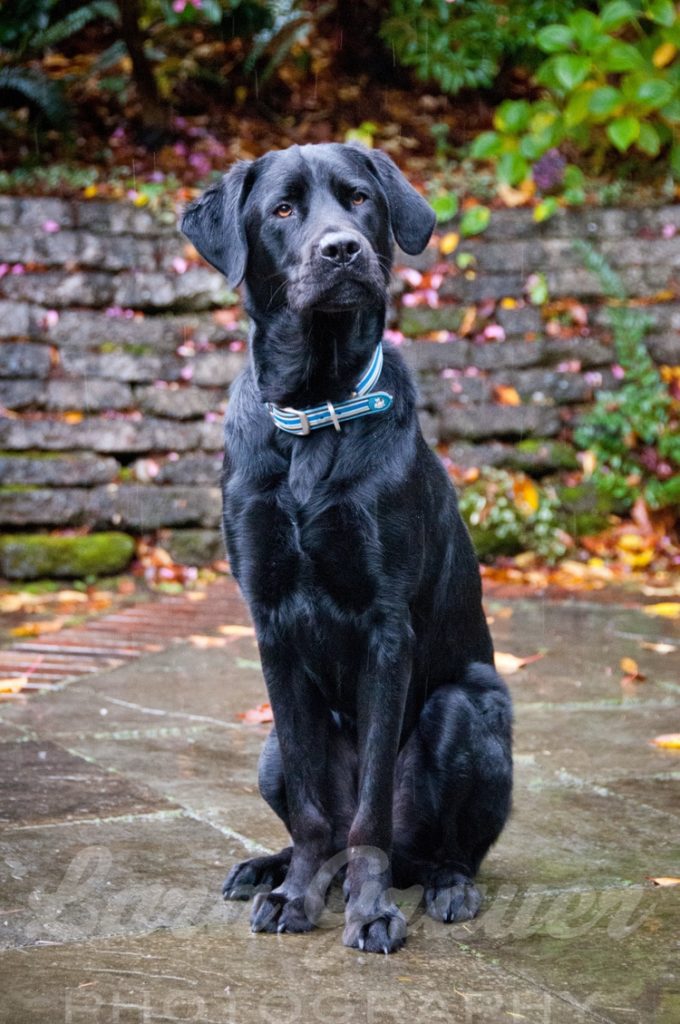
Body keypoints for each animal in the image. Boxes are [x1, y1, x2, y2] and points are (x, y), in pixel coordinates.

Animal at [183, 144, 512, 950]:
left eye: (359, 198)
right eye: (282, 209)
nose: (342, 250)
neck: (317, 409)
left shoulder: (385, 626)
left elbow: (369, 814)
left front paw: (369, 912)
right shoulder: (270, 623)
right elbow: (313, 810)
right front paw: (294, 894)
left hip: (469, 706)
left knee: (436, 849)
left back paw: (443, 887)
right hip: (268, 745)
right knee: (324, 829)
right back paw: (268, 870)